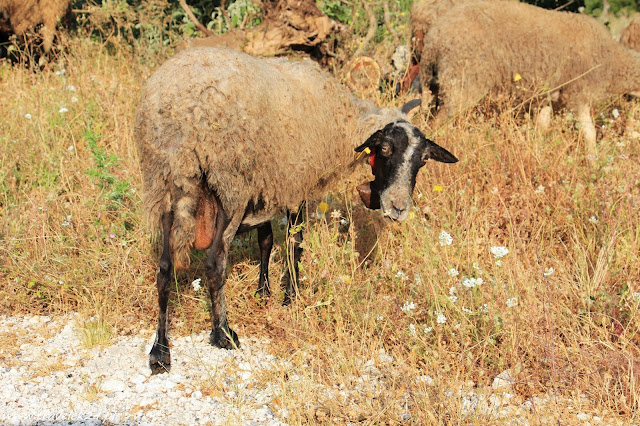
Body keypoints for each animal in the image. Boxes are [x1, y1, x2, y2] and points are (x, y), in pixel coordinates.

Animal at [132, 46, 458, 372]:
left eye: (423, 160)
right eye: (385, 149)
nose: (398, 208)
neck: (339, 120)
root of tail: (181, 114)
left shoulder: (266, 184)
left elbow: (265, 240)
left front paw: (263, 292)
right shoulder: (294, 180)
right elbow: (295, 241)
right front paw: (291, 297)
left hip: (167, 182)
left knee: (164, 268)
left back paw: (160, 351)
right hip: (229, 185)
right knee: (214, 264)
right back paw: (224, 333)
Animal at [418, 0, 640, 153]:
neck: (614, 60)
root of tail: (435, 37)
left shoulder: (548, 97)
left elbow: (541, 128)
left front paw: (538, 152)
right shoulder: (577, 95)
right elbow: (589, 134)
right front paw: (593, 164)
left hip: (431, 83)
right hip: (462, 84)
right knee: (438, 123)